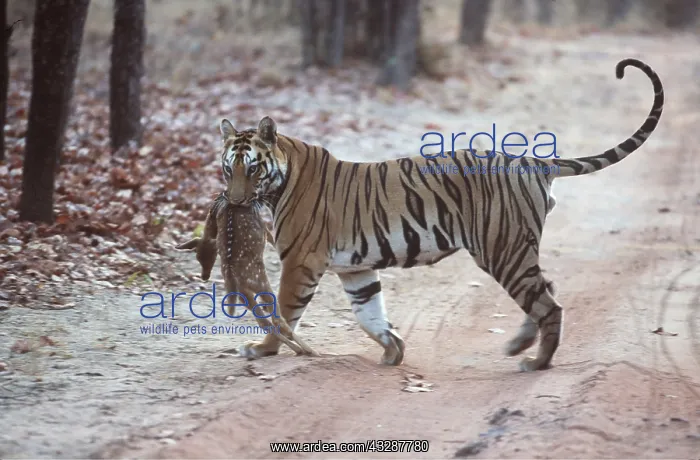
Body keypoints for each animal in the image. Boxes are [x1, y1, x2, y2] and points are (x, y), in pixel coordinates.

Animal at [218, 58, 663, 372]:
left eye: (252, 168)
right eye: (228, 168)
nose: (235, 201)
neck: (282, 176)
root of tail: (531, 161)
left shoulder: (301, 261)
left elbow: (282, 312)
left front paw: (262, 349)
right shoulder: (356, 268)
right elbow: (369, 314)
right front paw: (393, 350)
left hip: (501, 248)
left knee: (548, 304)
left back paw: (536, 362)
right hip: (514, 249)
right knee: (545, 290)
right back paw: (519, 345)